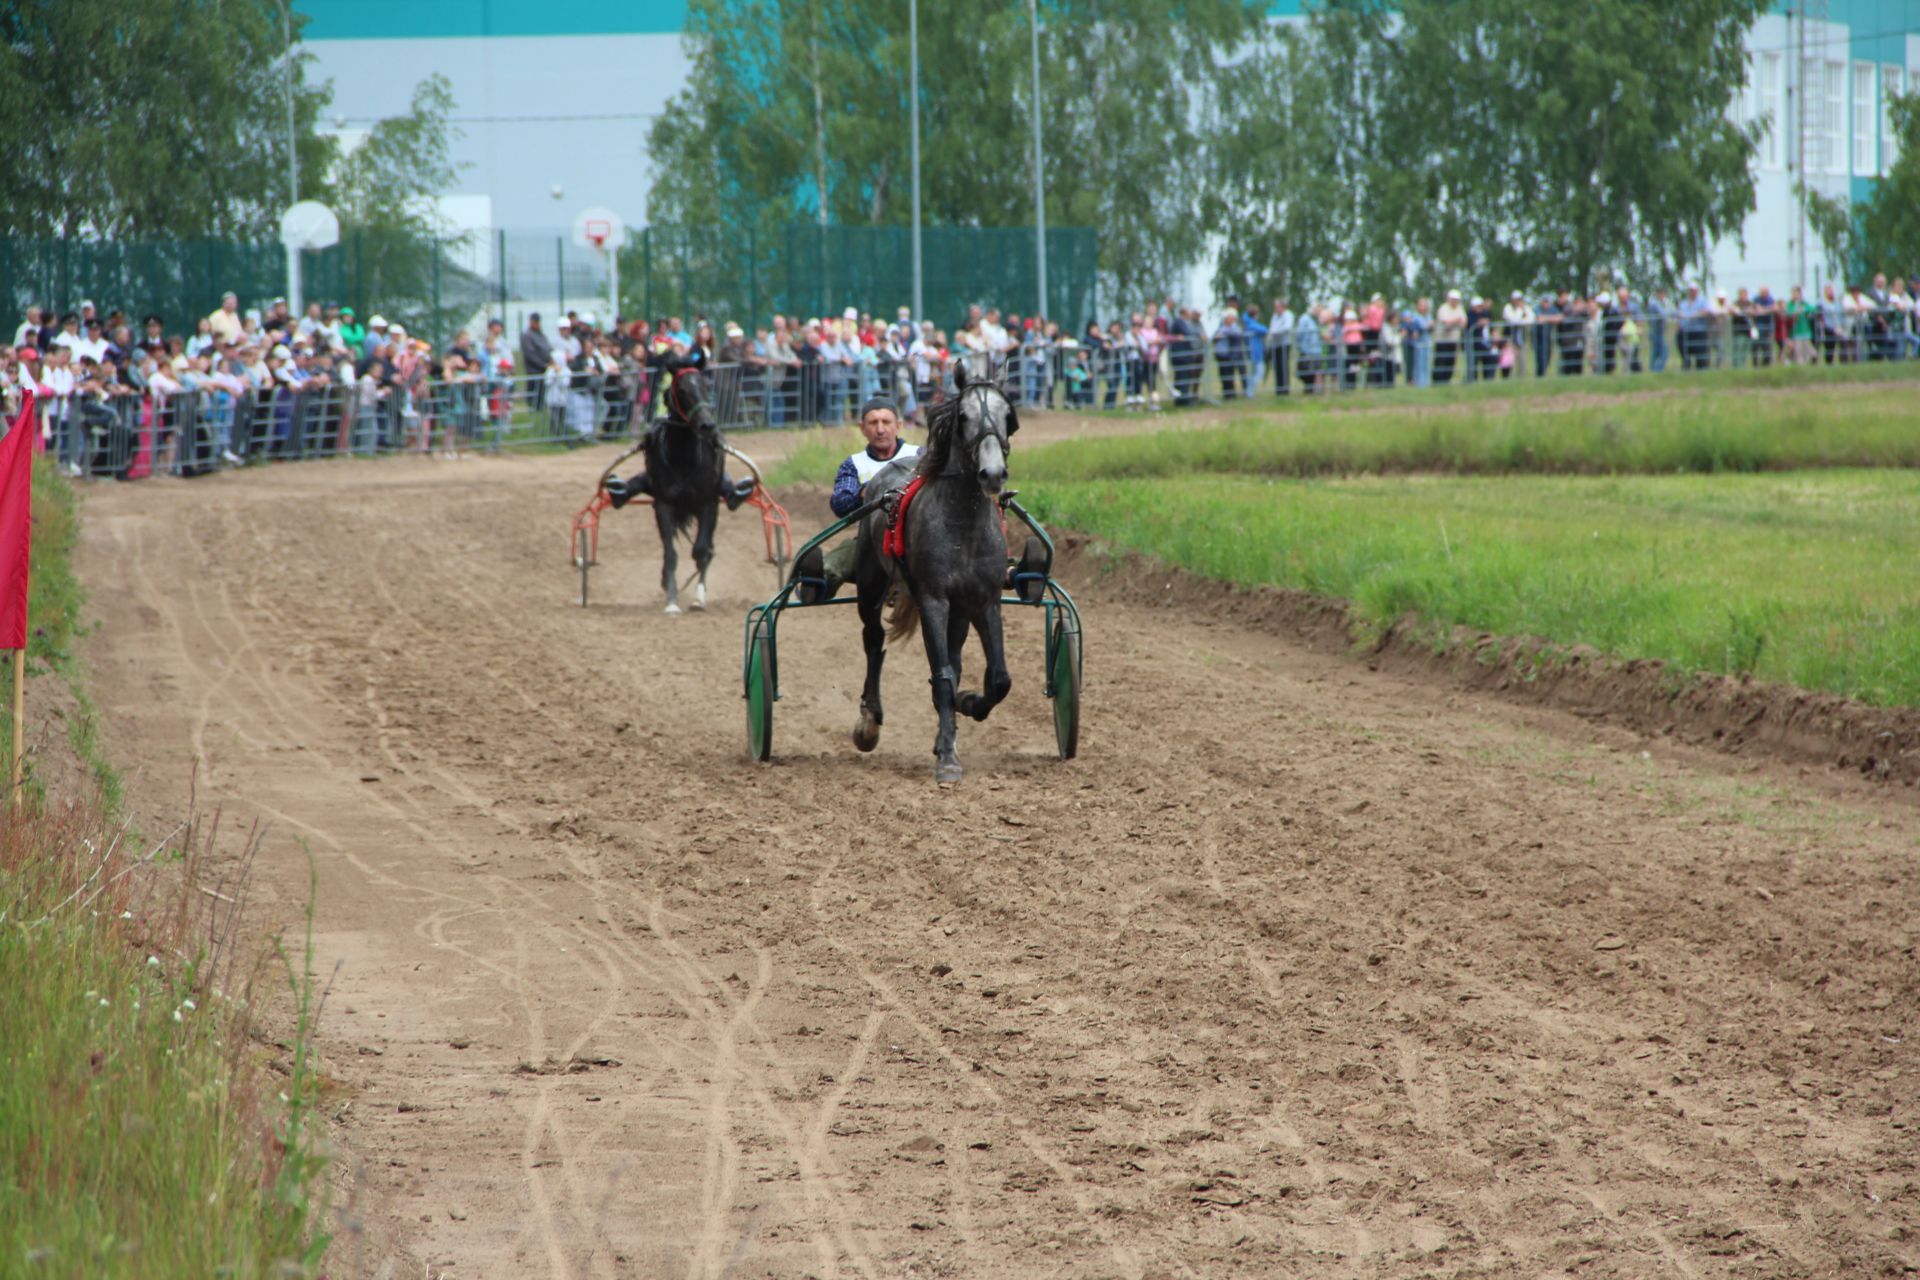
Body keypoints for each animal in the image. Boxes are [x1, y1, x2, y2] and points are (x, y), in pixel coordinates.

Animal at [848, 360, 1013, 782]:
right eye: (964, 416)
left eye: (1007, 414)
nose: (992, 474)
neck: (963, 524)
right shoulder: (934, 600)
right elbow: (942, 678)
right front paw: (948, 761)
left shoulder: (984, 601)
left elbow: (998, 679)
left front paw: (968, 704)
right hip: (871, 586)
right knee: (873, 640)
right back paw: (869, 721)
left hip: (959, 611)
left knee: (953, 659)